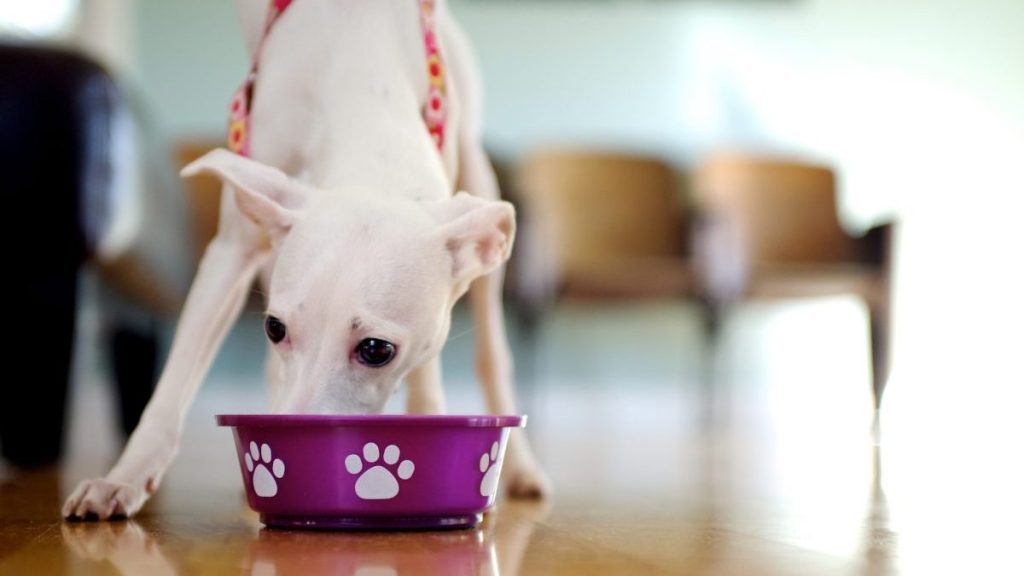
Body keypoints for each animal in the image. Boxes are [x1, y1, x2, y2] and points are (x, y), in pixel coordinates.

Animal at [65, 0, 552, 518]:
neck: (362, 84)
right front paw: (121, 478)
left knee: (492, 353)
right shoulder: (232, 248)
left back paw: (521, 467)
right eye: (274, 328)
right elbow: (171, 386)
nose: (290, 448)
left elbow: (429, 379)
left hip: (477, 173)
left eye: (376, 349)